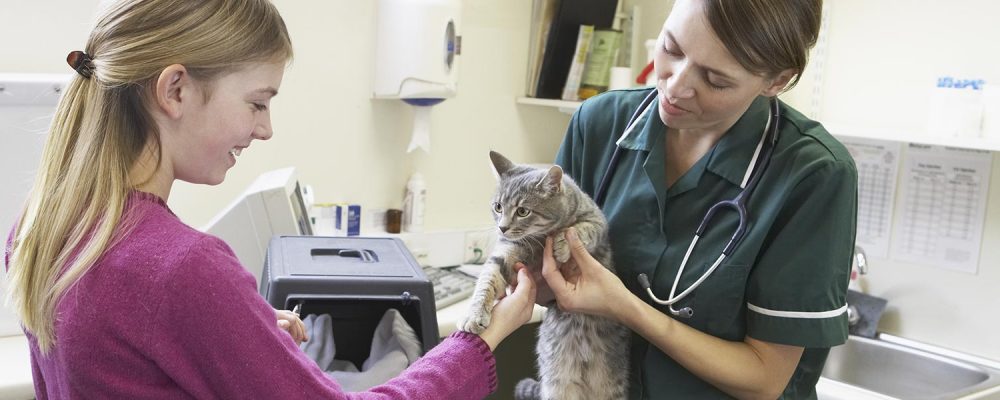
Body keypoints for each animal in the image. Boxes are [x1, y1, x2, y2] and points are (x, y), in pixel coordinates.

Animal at [458, 151, 630, 400]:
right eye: (498, 207)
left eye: (522, 211)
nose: (502, 228)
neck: (539, 238)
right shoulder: (505, 253)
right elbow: (487, 281)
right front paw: (474, 314)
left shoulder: (597, 220)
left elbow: (578, 229)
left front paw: (561, 244)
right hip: (558, 384)